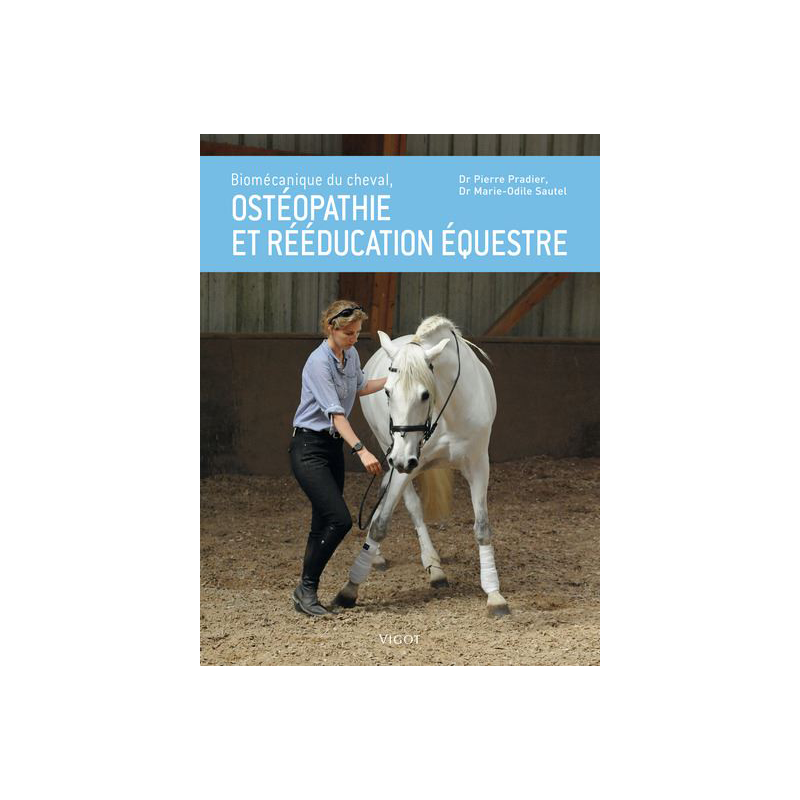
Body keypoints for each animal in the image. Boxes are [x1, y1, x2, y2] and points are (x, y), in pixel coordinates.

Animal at [332, 315, 510, 617]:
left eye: (425, 394)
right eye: (387, 391)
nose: (403, 459)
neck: (450, 411)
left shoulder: (478, 466)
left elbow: (483, 528)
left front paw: (494, 594)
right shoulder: (404, 464)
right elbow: (381, 524)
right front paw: (350, 588)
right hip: (392, 454)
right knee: (409, 506)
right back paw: (423, 566)